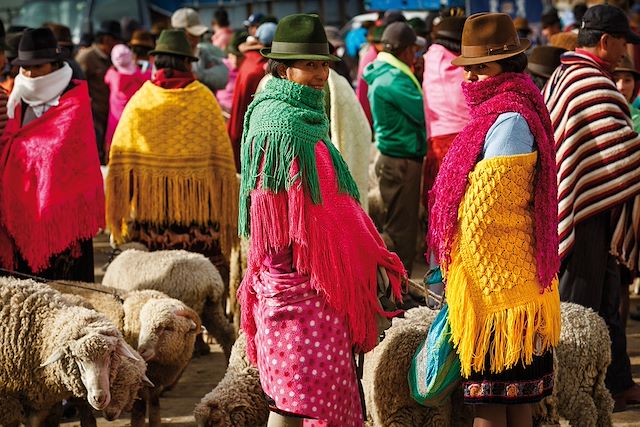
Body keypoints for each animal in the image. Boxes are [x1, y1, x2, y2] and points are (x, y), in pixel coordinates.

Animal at [48, 280, 200, 427]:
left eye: (168, 328)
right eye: (143, 324)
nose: (142, 350)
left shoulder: (153, 382)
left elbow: (155, 407)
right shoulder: (138, 380)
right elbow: (139, 411)